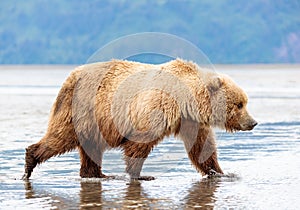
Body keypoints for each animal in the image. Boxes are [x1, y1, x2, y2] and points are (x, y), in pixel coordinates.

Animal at [22, 59, 256, 180]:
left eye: (245, 102)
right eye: (239, 104)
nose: (253, 122)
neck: (186, 100)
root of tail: (70, 77)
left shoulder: (191, 121)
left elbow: (202, 148)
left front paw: (220, 172)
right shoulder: (157, 107)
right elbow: (140, 142)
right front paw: (140, 175)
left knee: (89, 149)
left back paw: (98, 174)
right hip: (84, 111)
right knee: (60, 138)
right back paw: (29, 163)